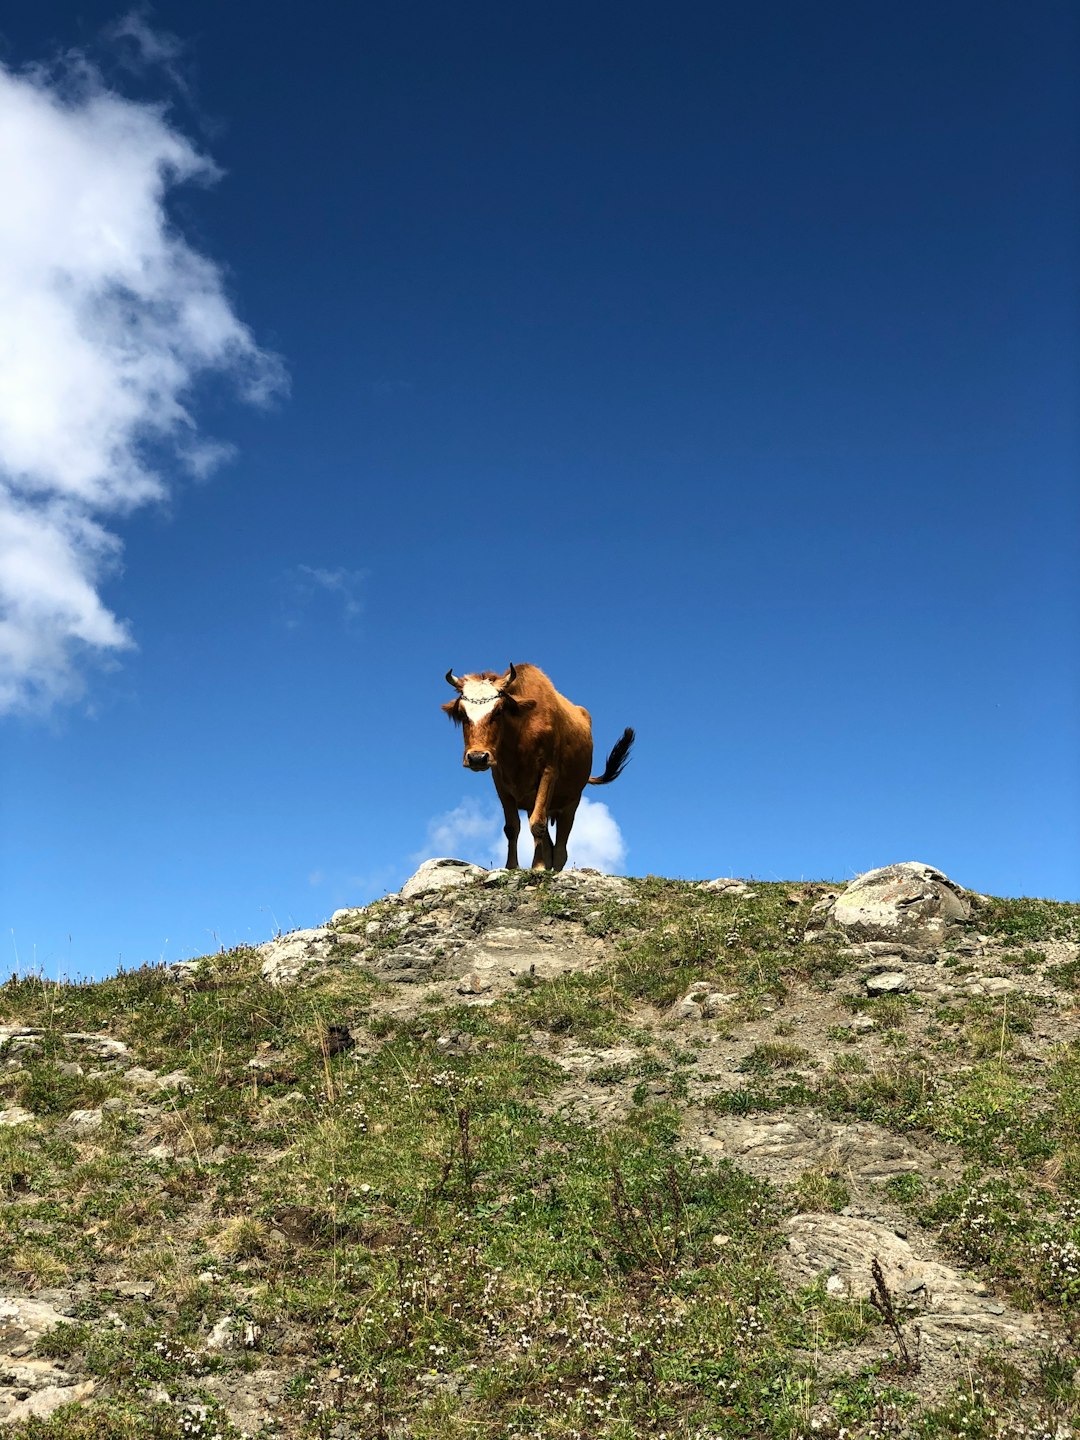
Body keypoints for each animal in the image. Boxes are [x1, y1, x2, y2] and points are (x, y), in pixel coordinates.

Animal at [443, 659, 639, 869]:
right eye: (462, 713)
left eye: (498, 711)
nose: (477, 757)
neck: (519, 735)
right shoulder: (501, 782)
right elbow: (512, 827)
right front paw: (512, 866)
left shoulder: (548, 772)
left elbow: (538, 824)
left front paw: (537, 866)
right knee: (549, 844)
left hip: (571, 802)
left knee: (560, 848)